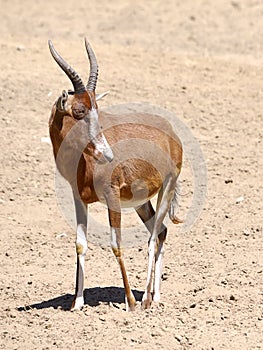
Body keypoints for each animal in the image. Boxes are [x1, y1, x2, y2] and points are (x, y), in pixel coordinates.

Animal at [48, 39, 184, 312]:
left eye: (97, 109)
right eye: (79, 110)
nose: (107, 154)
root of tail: (171, 134)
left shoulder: (111, 197)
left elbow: (116, 244)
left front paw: (130, 302)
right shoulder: (79, 199)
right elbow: (80, 244)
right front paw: (77, 304)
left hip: (167, 188)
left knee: (153, 238)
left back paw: (145, 300)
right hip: (141, 202)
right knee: (162, 231)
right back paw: (156, 296)